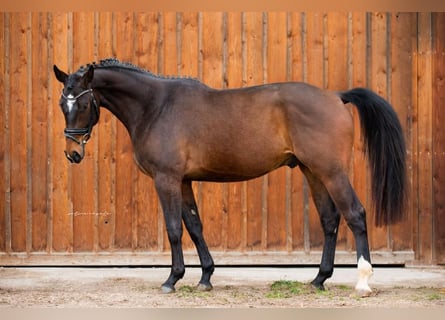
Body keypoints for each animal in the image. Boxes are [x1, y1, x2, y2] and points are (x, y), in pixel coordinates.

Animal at [53, 58, 406, 296]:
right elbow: (194, 226)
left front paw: (172, 279)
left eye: (81, 103)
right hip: (313, 171)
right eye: (61, 104)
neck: (157, 106)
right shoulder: (183, 181)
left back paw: (363, 282)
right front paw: (205, 277)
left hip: (332, 172)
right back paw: (319, 279)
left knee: (355, 214)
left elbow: (173, 229)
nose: (72, 153)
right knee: (330, 219)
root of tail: (336, 96)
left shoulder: (166, 179)